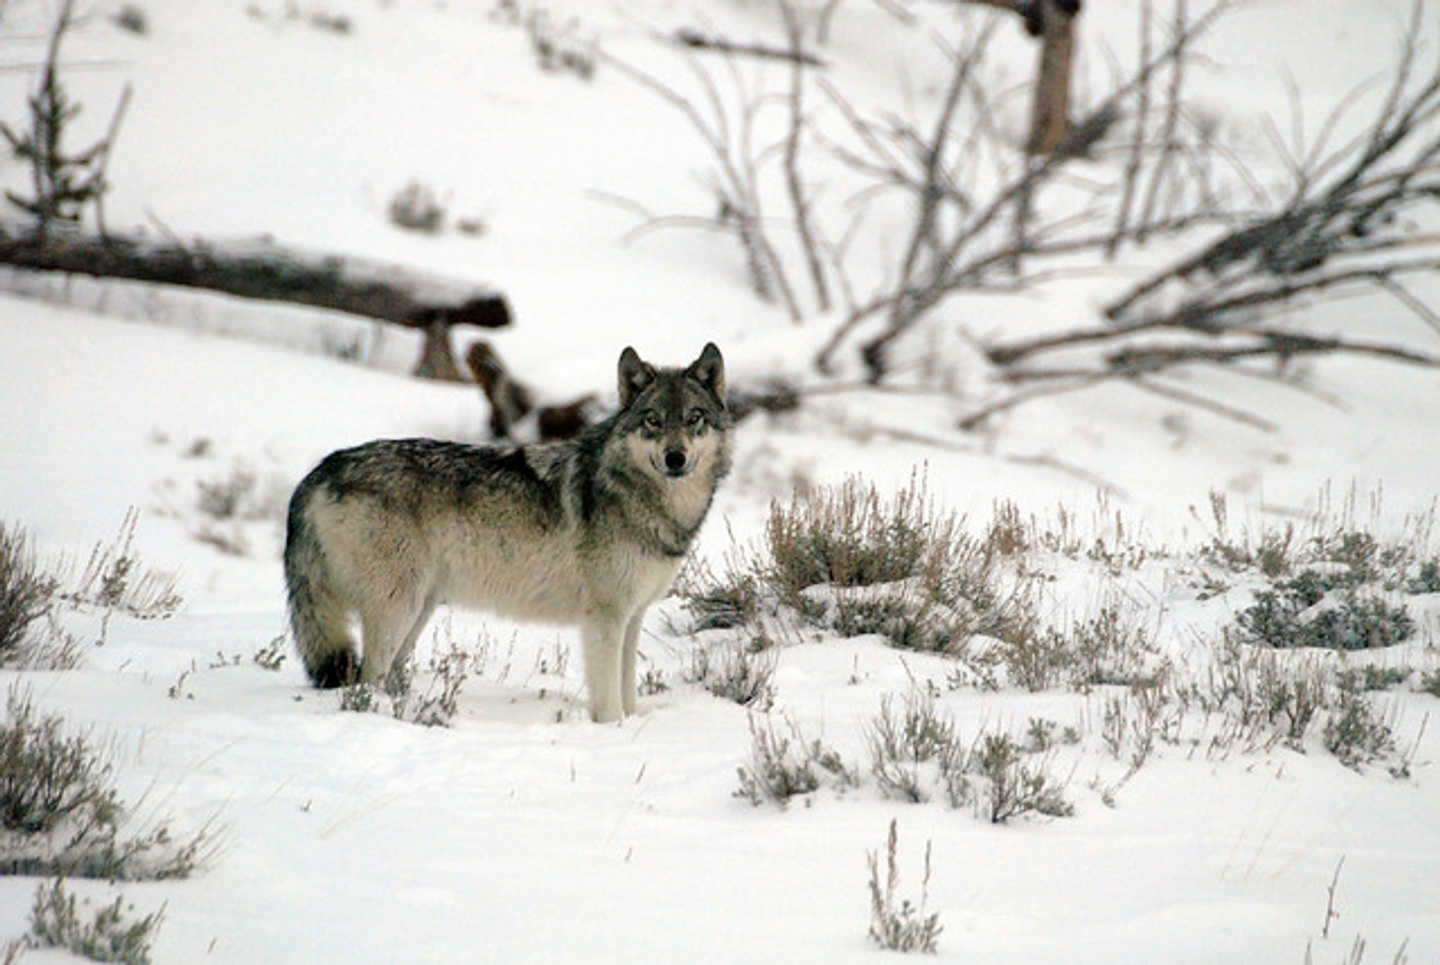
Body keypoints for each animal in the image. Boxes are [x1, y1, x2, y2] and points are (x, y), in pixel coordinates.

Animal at [282, 344, 731, 723]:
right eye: (653, 420)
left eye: (694, 418)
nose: (675, 458)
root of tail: (321, 469)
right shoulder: (604, 618)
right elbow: (609, 704)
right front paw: (614, 735)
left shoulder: (632, 616)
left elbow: (628, 692)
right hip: (399, 607)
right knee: (366, 678)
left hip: (418, 609)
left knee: (385, 675)